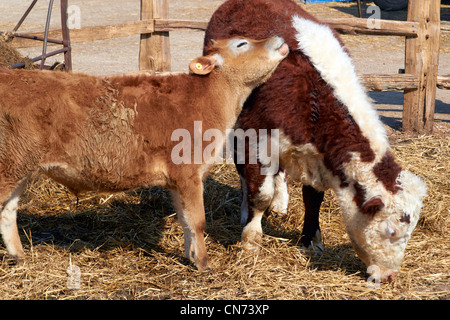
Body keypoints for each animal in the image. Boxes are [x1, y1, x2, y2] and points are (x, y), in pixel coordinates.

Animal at [0, 35, 288, 270]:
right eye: (241, 43)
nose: (279, 38)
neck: (207, 97)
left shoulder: (178, 181)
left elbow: (185, 220)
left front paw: (191, 257)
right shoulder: (189, 174)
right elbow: (198, 221)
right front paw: (205, 264)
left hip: (20, 169)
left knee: (8, 212)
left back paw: (20, 257)